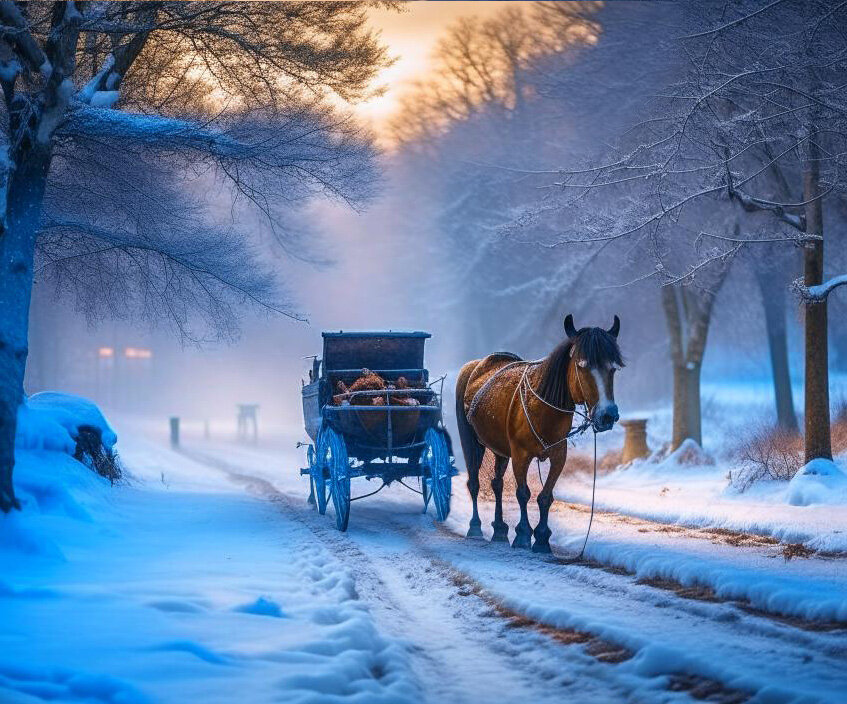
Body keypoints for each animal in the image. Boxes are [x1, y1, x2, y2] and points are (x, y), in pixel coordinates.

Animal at [458, 316, 624, 552]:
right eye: (582, 365)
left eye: (613, 368)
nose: (607, 415)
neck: (544, 407)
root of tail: (476, 365)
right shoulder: (520, 456)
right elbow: (523, 493)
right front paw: (523, 534)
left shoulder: (559, 456)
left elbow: (545, 497)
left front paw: (543, 537)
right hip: (471, 441)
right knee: (474, 482)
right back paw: (475, 527)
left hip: (500, 449)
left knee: (497, 483)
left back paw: (499, 529)